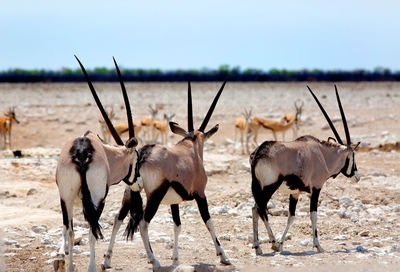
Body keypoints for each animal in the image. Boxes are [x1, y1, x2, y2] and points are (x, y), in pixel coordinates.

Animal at [54, 55, 139, 272]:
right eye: (137, 159)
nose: (138, 183)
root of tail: (82, 152)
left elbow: (68, 229)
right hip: (97, 198)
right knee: (91, 230)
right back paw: (91, 266)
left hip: (66, 198)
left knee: (69, 229)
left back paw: (70, 266)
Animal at [101, 80, 230, 270]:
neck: (191, 147)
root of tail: (143, 153)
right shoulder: (201, 194)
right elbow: (209, 221)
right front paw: (223, 256)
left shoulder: (174, 201)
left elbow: (177, 225)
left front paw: (175, 259)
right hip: (154, 196)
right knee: (143, 223)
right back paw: (153, 260)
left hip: (130, 192)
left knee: (118, 218)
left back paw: (107, 260)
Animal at [250, 86, 360, 256]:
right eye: (353, 155)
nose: (357, 176)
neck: (323, 154)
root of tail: (259, 152)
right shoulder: (316, 189)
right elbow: (313, 215)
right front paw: (318, 245)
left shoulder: (294, 193)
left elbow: (291, 216)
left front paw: (282, 244)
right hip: (269, 187)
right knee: (261, 208)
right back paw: (272, 243)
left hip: (258, 186)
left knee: (255, 208)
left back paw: (258, 247)